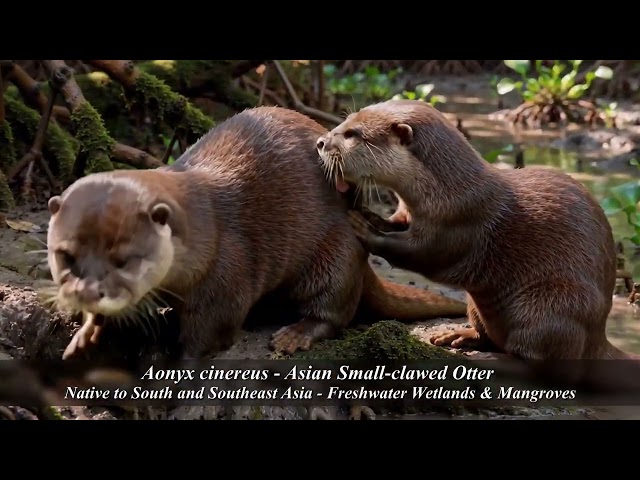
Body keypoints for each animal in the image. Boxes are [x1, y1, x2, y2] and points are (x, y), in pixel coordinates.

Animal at [45, 106, 467, 360]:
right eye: (65, 257)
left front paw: (176, 362)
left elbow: (211, 330)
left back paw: (294, 335)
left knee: (333, 311)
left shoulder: (225, 275)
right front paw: (86, 333)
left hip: (338, 253)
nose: (86, 293)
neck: (205, 227)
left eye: (124, 260)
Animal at [316, 99, 630, 361]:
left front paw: (364, 228)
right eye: (345, 121)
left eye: (352, 134)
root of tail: (598, 337)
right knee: (489, 335)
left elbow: (420, 253)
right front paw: (370, 215)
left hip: (553, 305)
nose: (320, 142)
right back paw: (457, 335)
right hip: (477, 304)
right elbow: (396, 225)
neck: (445, 190)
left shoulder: (459, 221)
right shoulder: (408, 211)